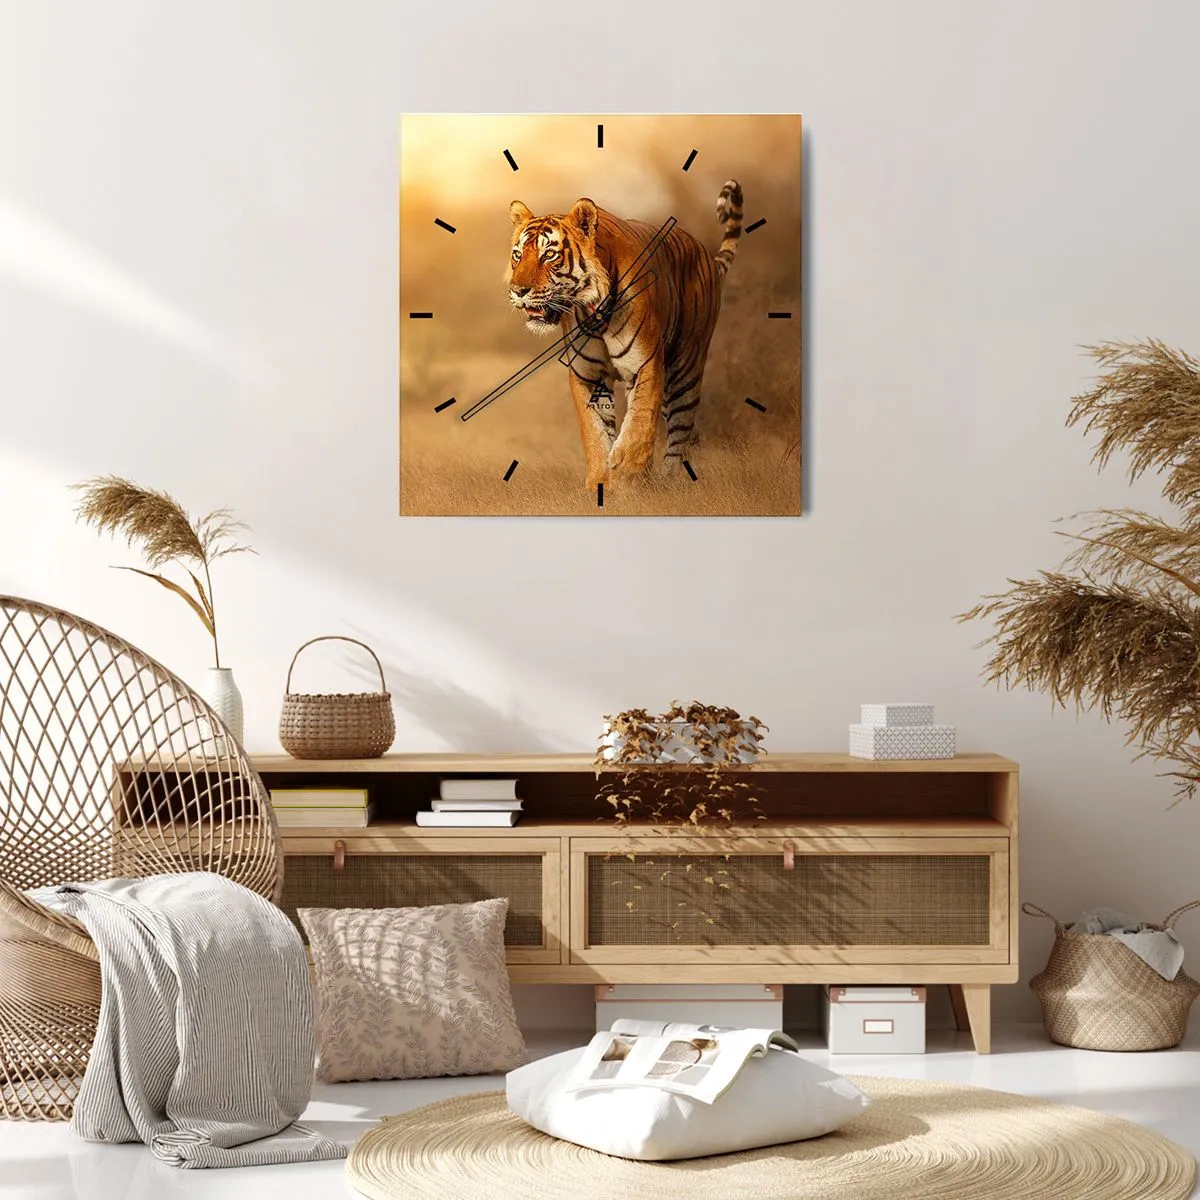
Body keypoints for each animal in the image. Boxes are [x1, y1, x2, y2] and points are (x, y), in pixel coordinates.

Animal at [505, 180, 743, 488]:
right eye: (517, 255)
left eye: (549, 255)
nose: (517, 291)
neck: (593, 310)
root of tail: (705, 254)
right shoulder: (588, 375)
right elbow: (595, 433)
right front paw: (600, 482)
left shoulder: (645, 365)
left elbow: (639, 424)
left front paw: (627, 477)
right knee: (691, 433)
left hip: (685, 368)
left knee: (680, 429)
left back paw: (671, 482)